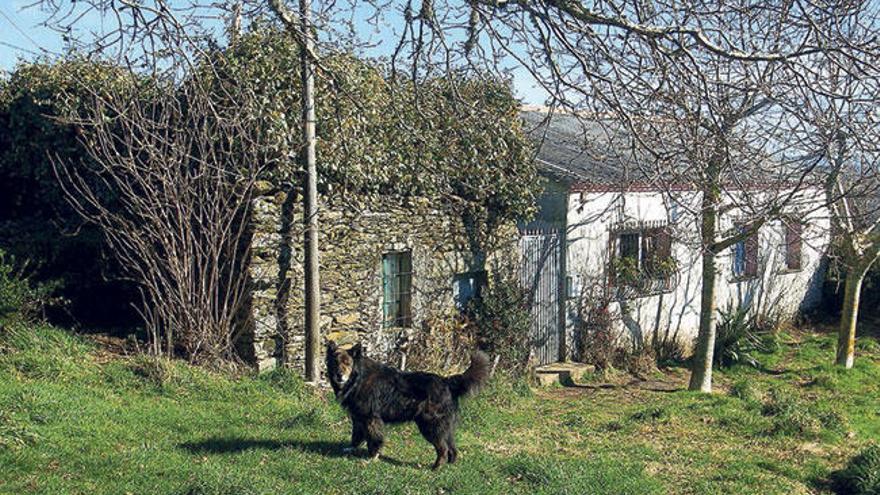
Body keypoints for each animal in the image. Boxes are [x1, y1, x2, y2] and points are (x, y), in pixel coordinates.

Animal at [324, 342, 488, 470]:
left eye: (347, 363)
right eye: (335, 363)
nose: (339, 375)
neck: (358, 378)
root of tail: (446, 381)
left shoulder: (371, 418)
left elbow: (374, 439)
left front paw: (372, 457)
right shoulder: (358, 418)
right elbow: (356, 436)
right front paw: (351, 448)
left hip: (431, 426)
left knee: (443, 448)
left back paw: (436, 468)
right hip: (445, 427)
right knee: (452, 448)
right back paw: (450, 465)